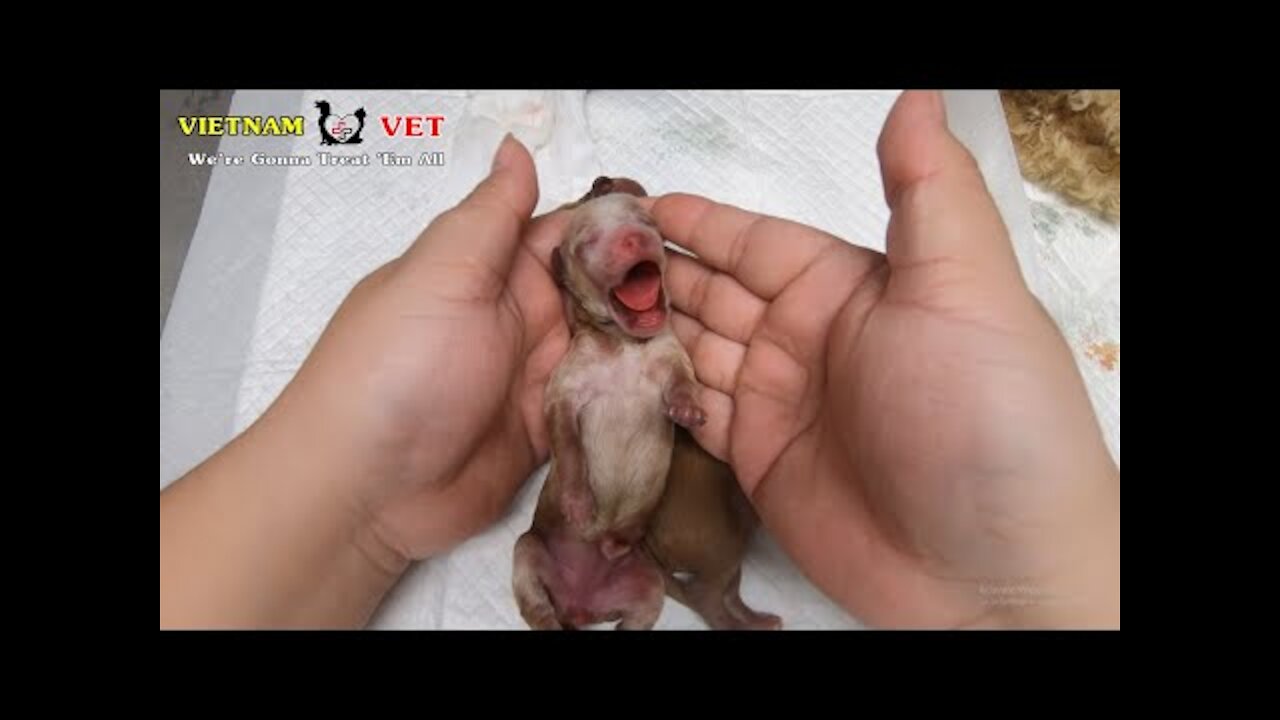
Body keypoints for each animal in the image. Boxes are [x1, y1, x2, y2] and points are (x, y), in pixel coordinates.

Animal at [512, 185, 711, 627]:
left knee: (636, 611)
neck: (625, 344)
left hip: (646, 582)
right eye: (586, 242)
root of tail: (581, 603)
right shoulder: (564, 389)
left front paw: (687, 408)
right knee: (537, 607)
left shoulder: (671, 356)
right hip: (528, 551)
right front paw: (577, 502)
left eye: (648, 222)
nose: (633, 238)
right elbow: (567, 443)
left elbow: (682, 381)